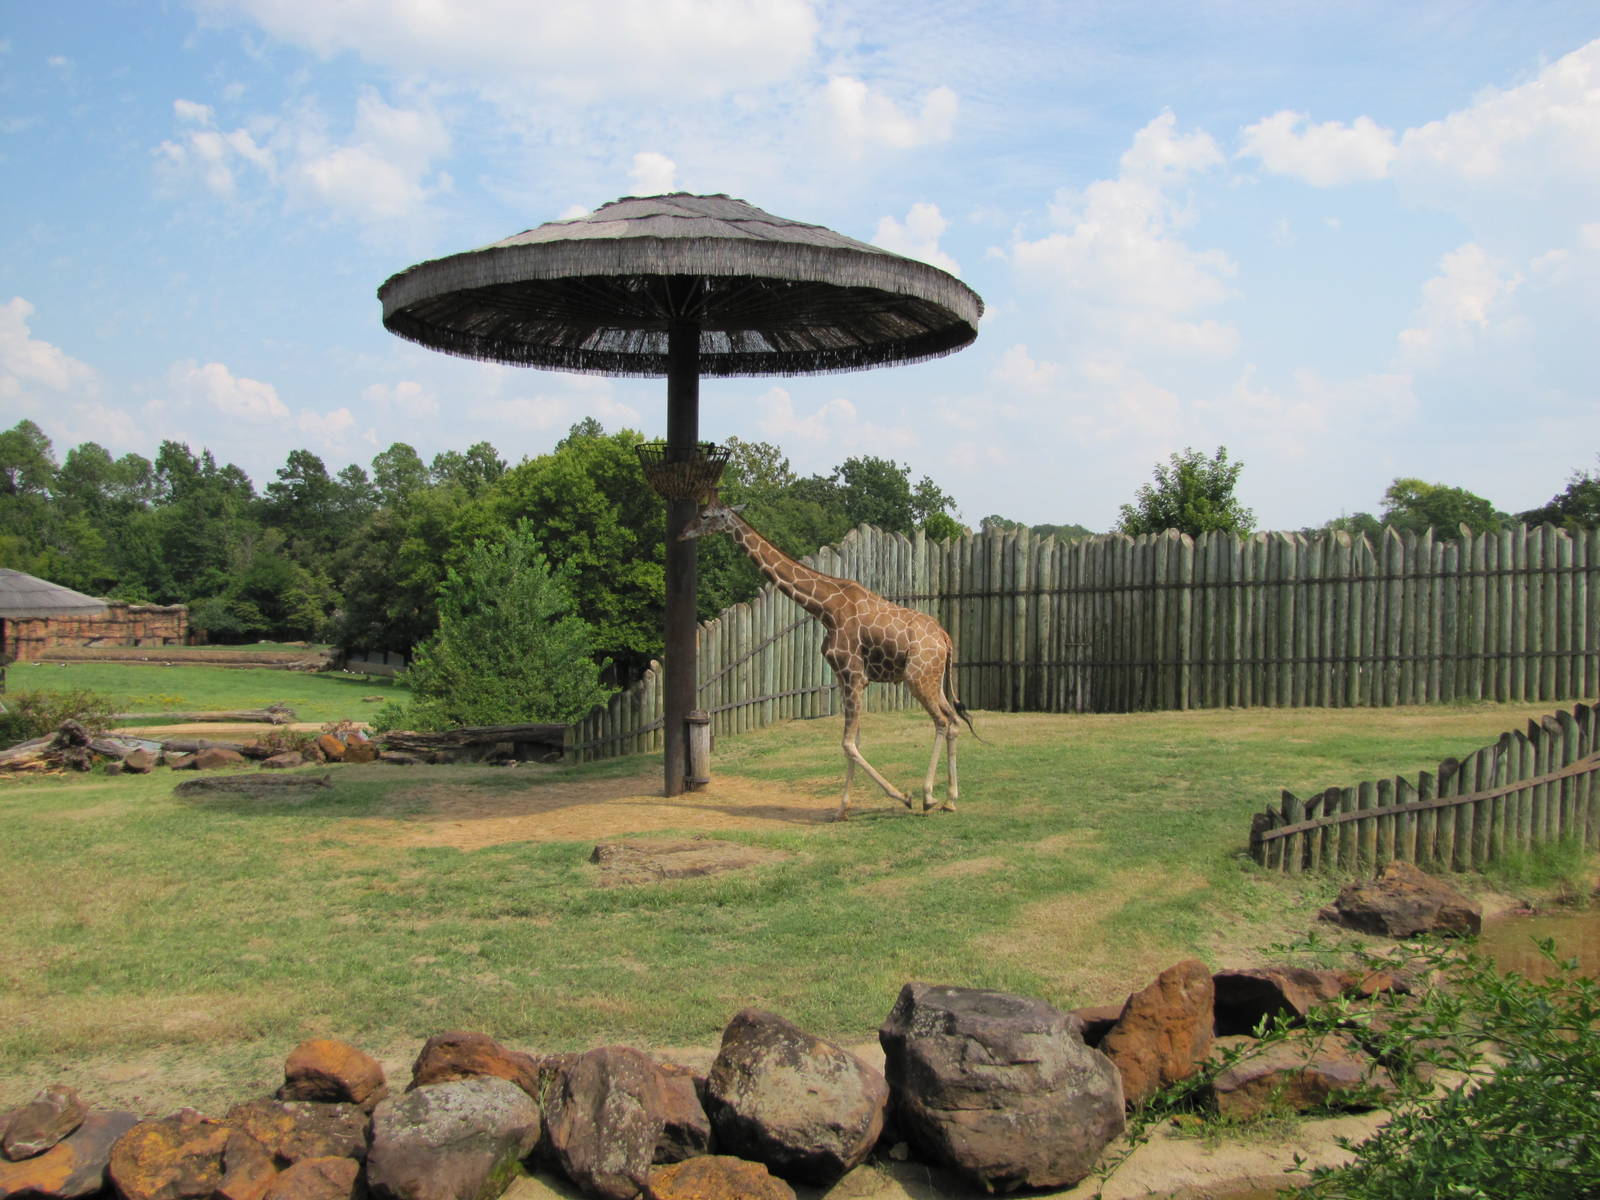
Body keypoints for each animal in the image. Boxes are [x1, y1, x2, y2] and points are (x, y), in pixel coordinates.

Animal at [680, 499, 976, 820]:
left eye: (705, 515)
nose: (683, 533)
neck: (825, 608)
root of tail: (946, 639)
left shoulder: (853, 674)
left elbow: (847, 743)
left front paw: (902, 796)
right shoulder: (845, 676)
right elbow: (854, 742)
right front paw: (842, 809)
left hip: (917, 677)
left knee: (941, 721)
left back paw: (928, 797)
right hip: (934, 678)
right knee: (953, 720)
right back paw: (950, 799)